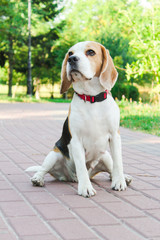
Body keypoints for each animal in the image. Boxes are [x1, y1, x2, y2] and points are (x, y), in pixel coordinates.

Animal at [25, 41, 132, 198]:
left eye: (91, 52)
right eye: (70, 53)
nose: (72, 59)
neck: (92, 98)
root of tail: (70, 177)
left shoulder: (114, 136)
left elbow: (118, 163)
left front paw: (119, 182)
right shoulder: (76, 140)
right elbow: (81, 166)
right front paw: (85, 188)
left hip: (105, 156)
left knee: (111, 169)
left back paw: (124, 177)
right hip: (54, 154)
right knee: (44, 169)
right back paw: (38, 178)